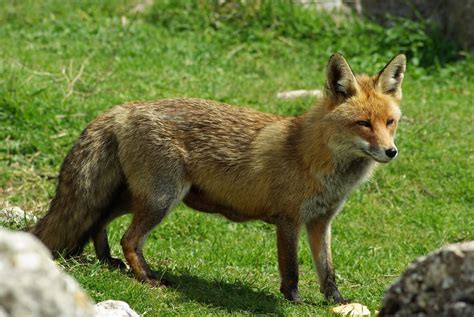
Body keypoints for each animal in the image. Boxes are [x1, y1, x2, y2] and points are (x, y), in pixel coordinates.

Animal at [31, 53, 406, 302]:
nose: (391, 152)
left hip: (134, 196)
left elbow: (327, 269)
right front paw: (293, 300)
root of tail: (126, 107)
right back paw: (147, 278)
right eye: (363, 124)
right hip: (162, 198)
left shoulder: (320, 222)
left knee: (99, 221)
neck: (314, 159)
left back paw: (107, 261)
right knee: (129, 239)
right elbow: (292, 268)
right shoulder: (288, 220)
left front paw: (336, 302)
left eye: (390, 122)